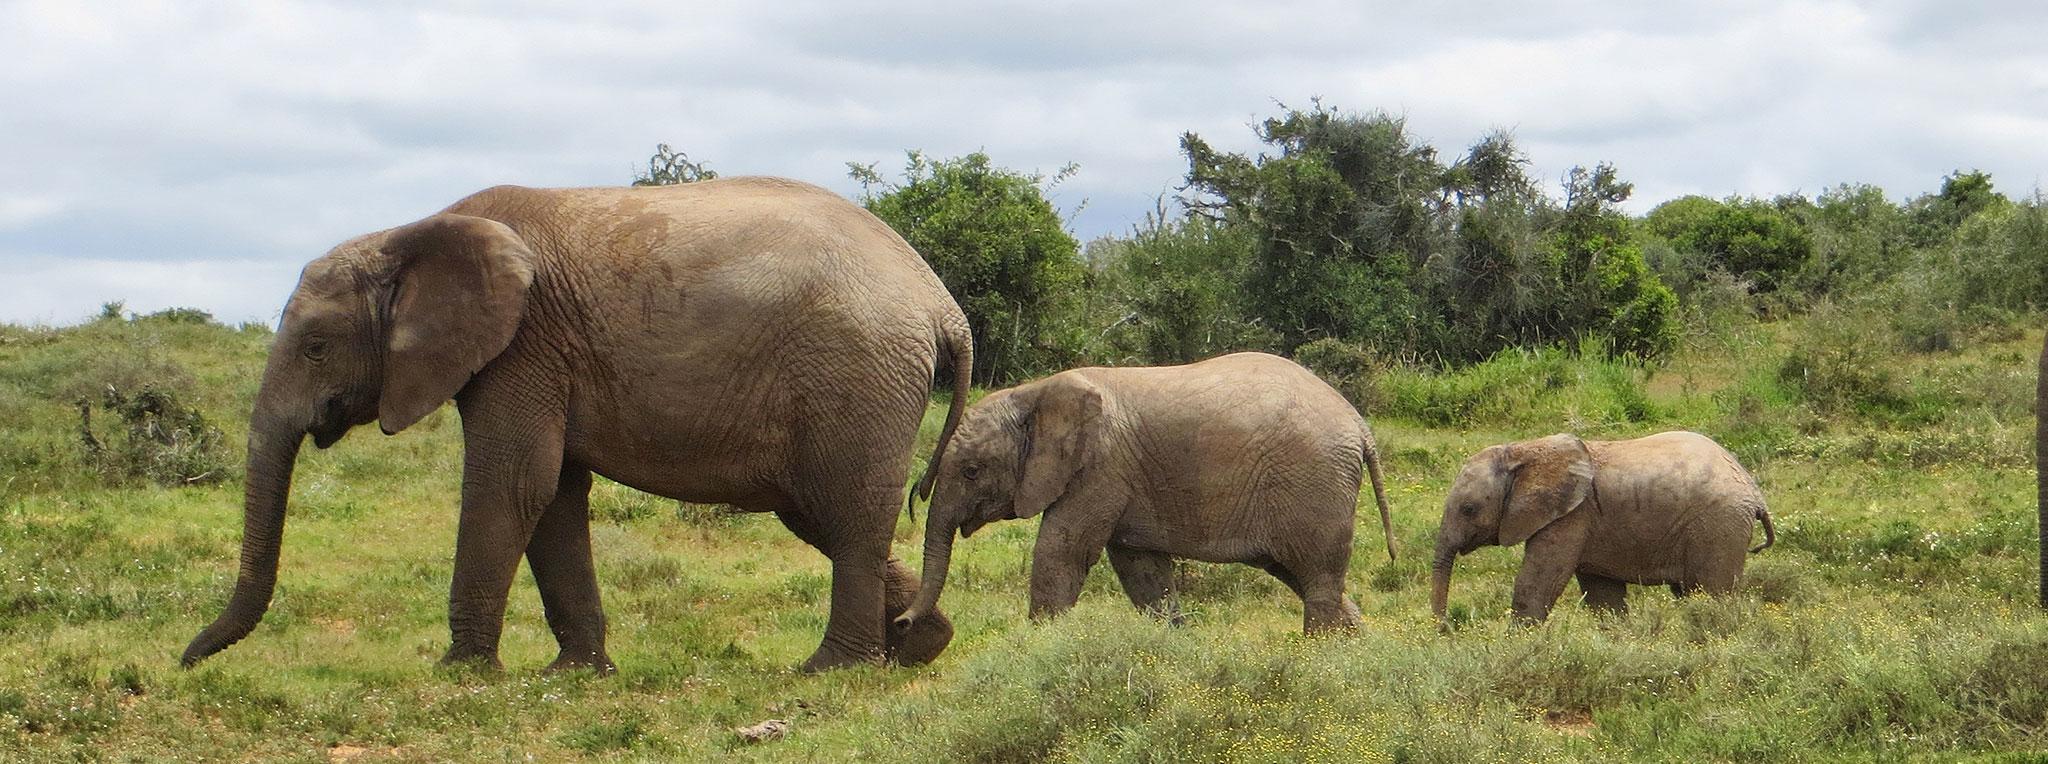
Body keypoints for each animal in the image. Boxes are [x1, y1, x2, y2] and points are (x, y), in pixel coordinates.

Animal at [181, 178, 972, 673]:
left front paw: (459, 672)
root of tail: (942, 303)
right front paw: (576, 674)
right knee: (823, 515)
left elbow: (510, 485)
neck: (409, 234)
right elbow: (553, 495)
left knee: (847, 514)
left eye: (316, 347)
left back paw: (826, 671)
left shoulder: (523, 344)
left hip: (857, 373)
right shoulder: (540, 356)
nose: (186, 660)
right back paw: (918, 646)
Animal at [894, 352, 1397, 634]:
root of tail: (1360, 426)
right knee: (1304, 576)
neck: (1034, 393)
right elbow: (1141, 569)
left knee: (1317, 579)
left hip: (1313, 483)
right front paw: (1170, 646)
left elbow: (1062, 551)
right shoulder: (1124, 479)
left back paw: (1319, 656)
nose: (900, 624)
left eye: (972, 471)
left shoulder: (1101, 468)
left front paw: (1037, 650)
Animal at [1431, 431, 1775, 625]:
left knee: (1712, 593)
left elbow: (1537, 583)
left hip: (1719, 525)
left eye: (1469, 509)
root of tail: (1754, 492)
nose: (1445, 627)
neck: (1522, 450)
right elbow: (1602, 596)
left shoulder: (1571, 516)